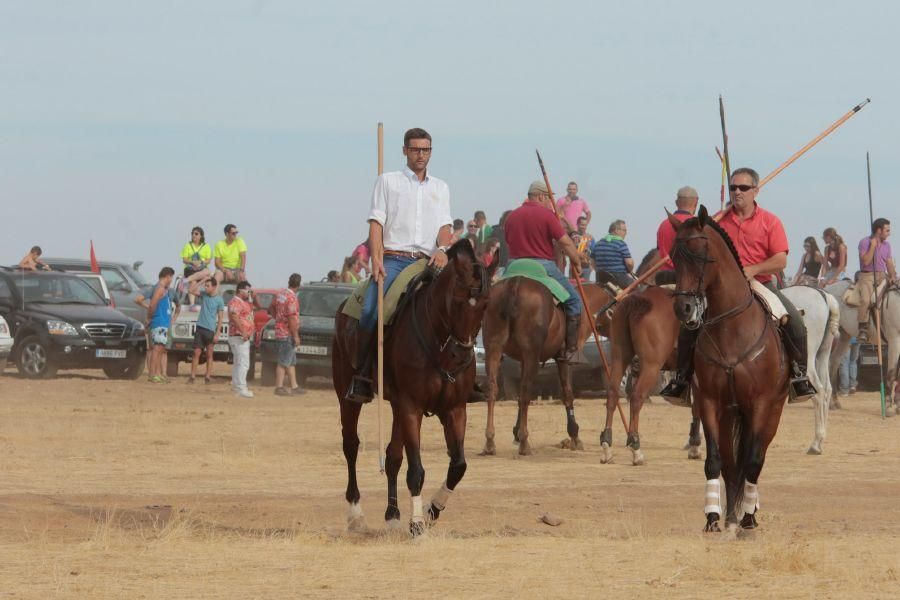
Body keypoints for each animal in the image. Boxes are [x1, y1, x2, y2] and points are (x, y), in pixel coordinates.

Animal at [334, 239, 496, 536]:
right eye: (457, 301)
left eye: (486, 304)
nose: (461, 355)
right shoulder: (413, 406)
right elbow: (416, 469)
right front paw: (417, 523)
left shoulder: (454, 409)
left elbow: (458, 465)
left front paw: (432, 510)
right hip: (347, 396)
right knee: (351, 445)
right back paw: (356, 515)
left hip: (397, 406)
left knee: (392, 456)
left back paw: (392, 515)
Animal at [478, 278, 612, 458]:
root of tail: (515, 284)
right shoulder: (562, 358)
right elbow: (567, 393)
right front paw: (574, 436)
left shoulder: (523, 359)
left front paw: (515, 432)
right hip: (531, 353)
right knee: (526, 391)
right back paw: (524, 443)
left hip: (494, 348)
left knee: (494, 389)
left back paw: (490, 441)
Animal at [668, 207, 788, 536]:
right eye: (673, 257)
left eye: (699, 255)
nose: (683, 309)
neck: (731, 329)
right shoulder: (709, 402)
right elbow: (714, 461)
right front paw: (712, 516)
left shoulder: (761, 404)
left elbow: (754, 462)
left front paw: (748, 517)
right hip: (729, 416)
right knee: (732, 464)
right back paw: (734, 512)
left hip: (771, 413)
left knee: (753, 459)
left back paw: (748, 512)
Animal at [780, 286, 844, 454]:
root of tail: (823, 295)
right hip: (824, 352)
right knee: (827, 388)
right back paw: (820, 441)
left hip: (808, 360)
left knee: (819, 390)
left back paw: (816, 442)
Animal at [824, 280, 900, 412]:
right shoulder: (895, 339)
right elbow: (892, 373)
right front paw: (889, 406)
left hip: (845, 336)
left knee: (833, 362)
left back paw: (834, 402)